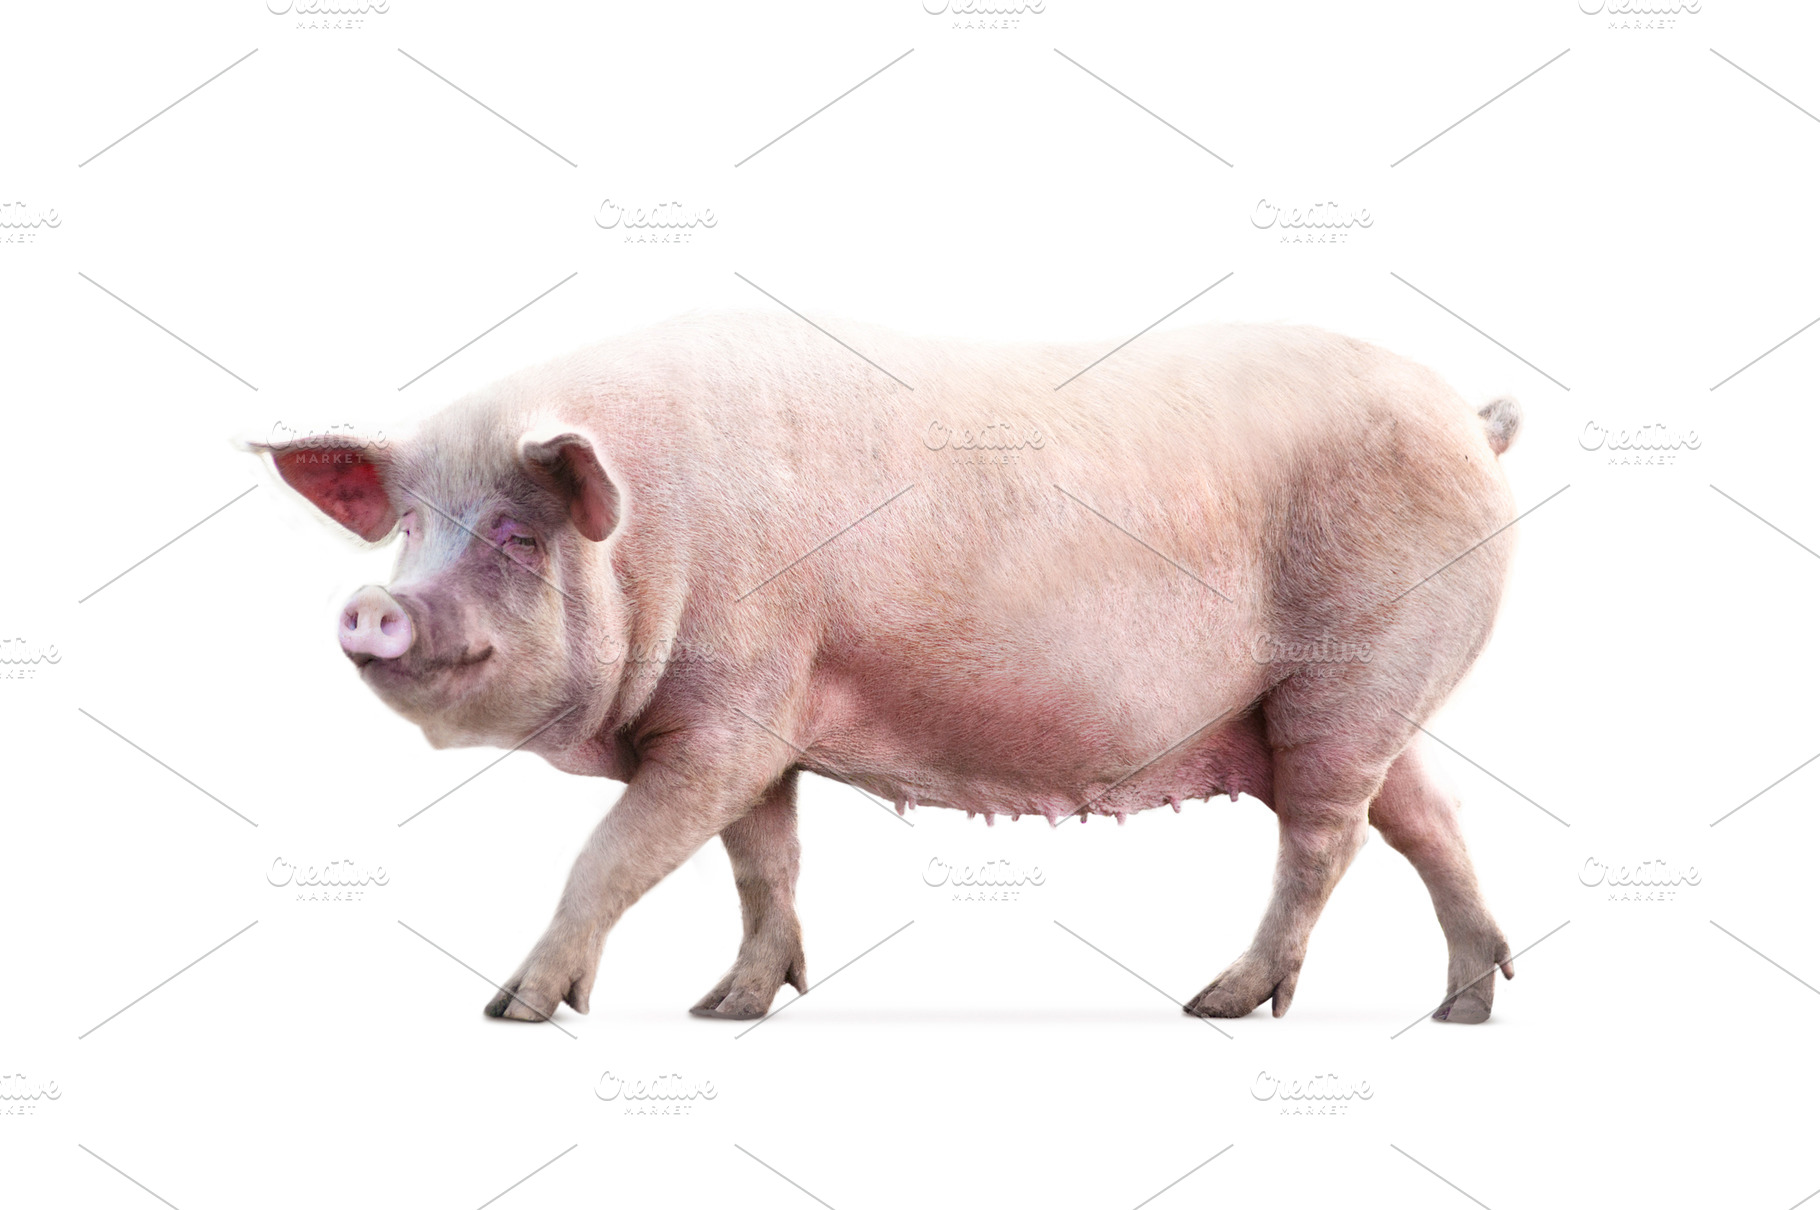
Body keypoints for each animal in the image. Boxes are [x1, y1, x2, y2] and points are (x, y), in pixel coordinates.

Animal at [250, 311, 1524, 1024]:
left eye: (517, 533)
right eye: (412, 525)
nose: (373, 605)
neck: (657, 542)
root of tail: (1472, 422)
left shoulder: (732, 712)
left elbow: (609, 855)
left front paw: (510, 1013)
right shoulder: (764, 730)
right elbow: (761, 862)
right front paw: (728, 1010)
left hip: (1349, 674)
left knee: (1325, 839)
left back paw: (1217, 1004)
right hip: (1360, 704)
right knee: (1426, 813)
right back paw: (1463, 1006)